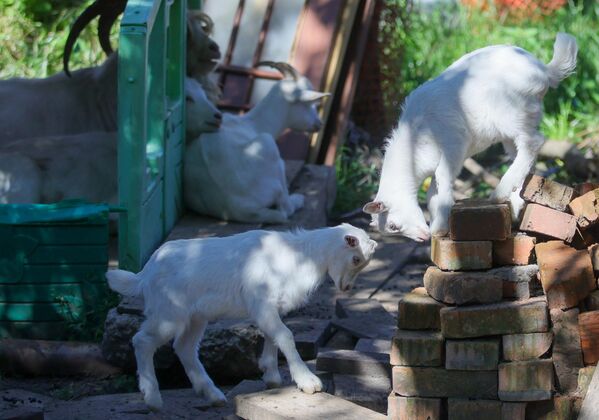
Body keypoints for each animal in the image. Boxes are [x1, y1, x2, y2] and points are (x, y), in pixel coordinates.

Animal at [106, 223, 378, 410]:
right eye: (355, 258)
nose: (346, 288)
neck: (299, 256)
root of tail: (145, 273)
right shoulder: (262, 302)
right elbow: (285, 335)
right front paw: (306, 380)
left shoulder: (270, 307)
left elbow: (273, 335)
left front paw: (271, 376)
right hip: (168, 313)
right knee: (142, 341)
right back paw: (152, 398)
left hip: (196, 317)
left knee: (184, 348)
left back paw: (213, 394)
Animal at [185, 61, 330, 223]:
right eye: (309, 104)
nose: (319, 123)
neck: (252, 124)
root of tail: (243, 209)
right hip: (269, 147)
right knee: (286, 209)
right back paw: (298, 199)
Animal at [364, 32, 580, 241]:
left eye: (393, 225)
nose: (423, 238)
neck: (414, 139)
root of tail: (544, 71)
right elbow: (432, 191)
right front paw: (437, 225)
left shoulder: (454, 144)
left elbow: (442, 177)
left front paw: (440, 226)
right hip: (517, 126)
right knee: (525, 153)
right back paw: (516, 201)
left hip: (509, 111)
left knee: (534, 142)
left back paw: (500, 193)